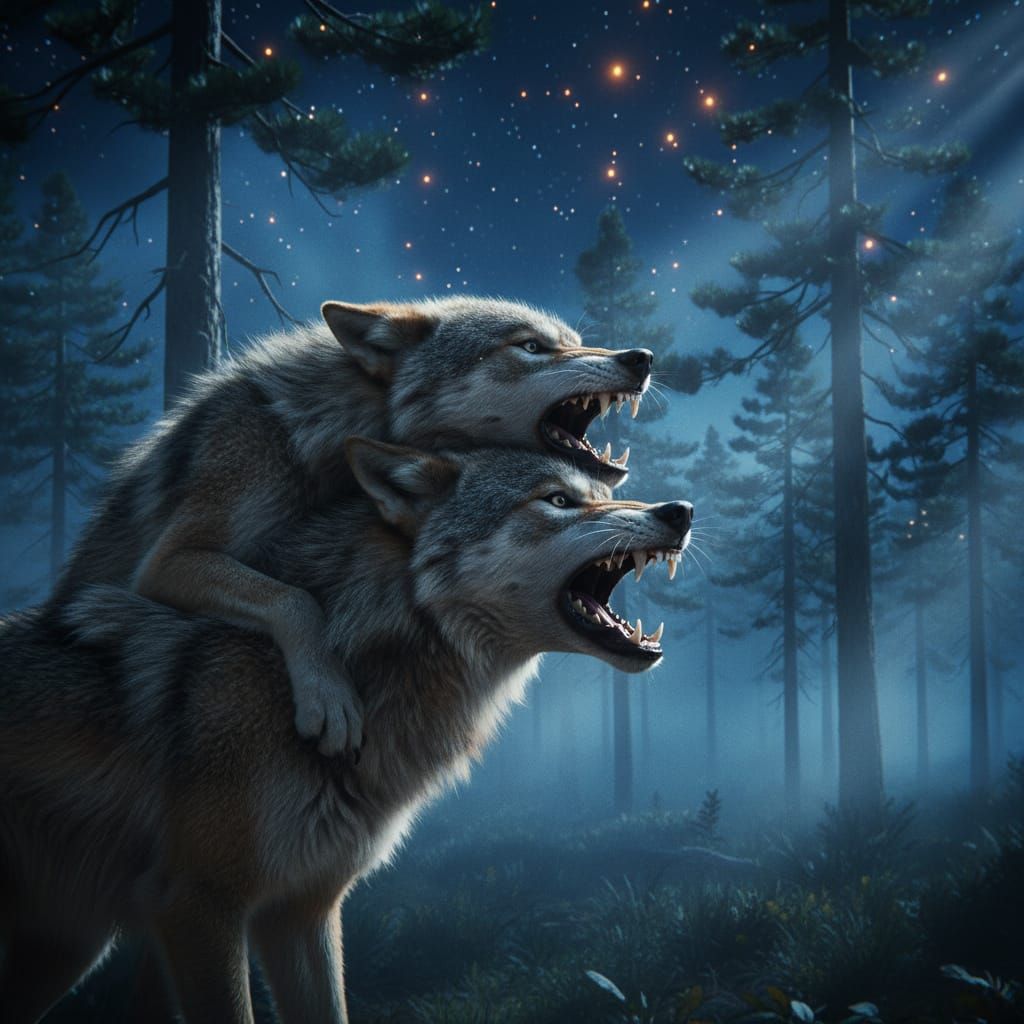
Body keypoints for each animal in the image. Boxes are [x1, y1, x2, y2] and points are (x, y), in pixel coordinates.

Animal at [0, 440, 692, 1024]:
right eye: (558, 501)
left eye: (597, 494)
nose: (680, 510)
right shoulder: (197, 906)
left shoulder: (303, 911)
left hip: (69, 948)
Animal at [49, 296, 654, 756]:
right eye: (530, 347)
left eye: (572, 340)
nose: (640, 356)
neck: (338, 431)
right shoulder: (169, 561)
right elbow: (293, 599)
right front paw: (329, 696)